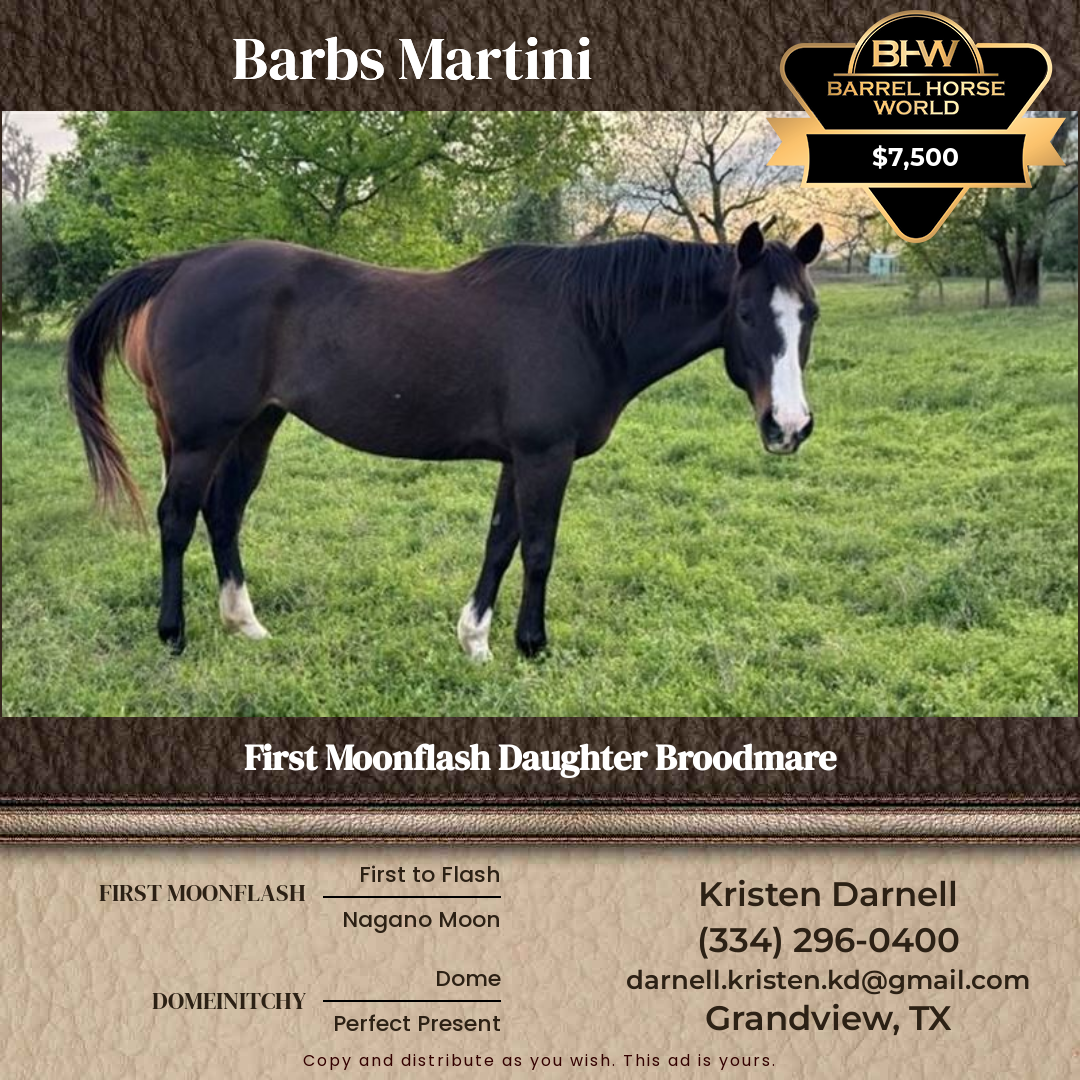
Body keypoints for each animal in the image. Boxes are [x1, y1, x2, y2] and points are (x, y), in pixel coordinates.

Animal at [67, 220, 823, 659]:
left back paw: (244, 623)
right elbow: (539, 550)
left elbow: (500, 542)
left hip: (255, 427)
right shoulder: (545, 457)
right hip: (202, 437)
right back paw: (174, 634)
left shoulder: (521, 459)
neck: (587, 323)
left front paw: (475, 638)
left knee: (224, 514)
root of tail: (182, 267)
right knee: (176, 519)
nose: (788, 427)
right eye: (747, 312)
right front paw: (531, 645)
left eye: (809, 313)